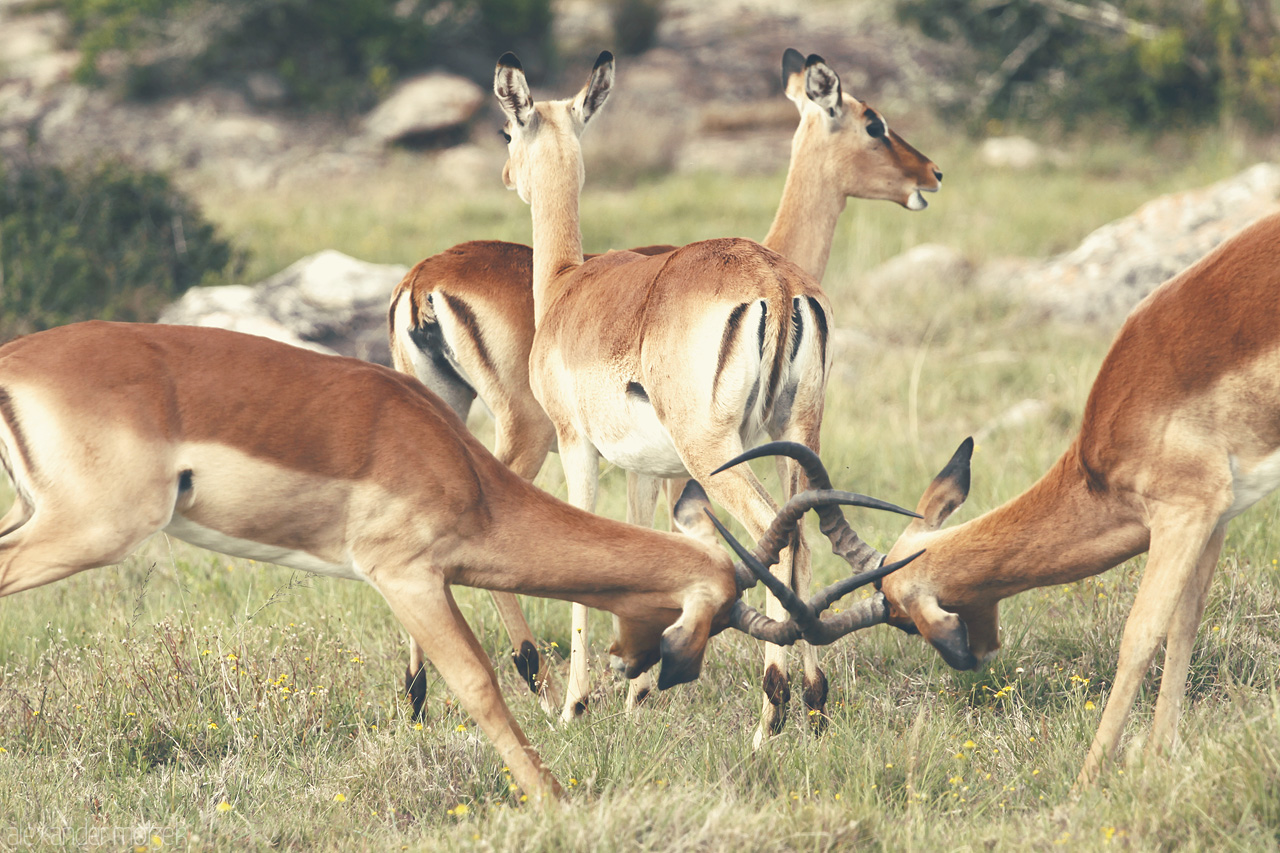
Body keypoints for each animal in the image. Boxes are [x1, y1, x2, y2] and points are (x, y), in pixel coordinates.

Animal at [0, 320, 918, 798]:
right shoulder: (404, 575)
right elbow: (479, 685)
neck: (458, 468)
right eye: (723, 611)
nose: (638, 669)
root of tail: (17, 359)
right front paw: (556, 800)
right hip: (89, 528)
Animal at [388, 48, 941, 719]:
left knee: (783, 536)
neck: (565, 284)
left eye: (506, 131)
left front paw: (605, 696)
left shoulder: (607, 455)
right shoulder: (648, 465)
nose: (932, 173)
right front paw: (631, 686)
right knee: (795, 536)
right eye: (873, 123)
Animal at [822, 209, 1280, 785]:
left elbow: (1140, 636)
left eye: (905, 623)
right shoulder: (1215, 516)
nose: (982, 656)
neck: (1095, 464)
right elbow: (1184, 626)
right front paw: (1159, 761)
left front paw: (1085, 783)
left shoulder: (1184, 511)